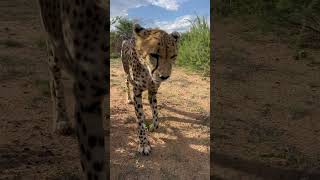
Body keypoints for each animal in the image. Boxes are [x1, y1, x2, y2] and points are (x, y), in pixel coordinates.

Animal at [120, 24, 180, 155]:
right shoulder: (137, 92)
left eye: (173, 56)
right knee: (127, 82)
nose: (164, 77)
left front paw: (153, 126)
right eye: (154, 55)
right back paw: (128, 98)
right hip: (126, 72)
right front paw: (143, 143)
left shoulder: (152, 91)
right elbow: (140, 120)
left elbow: (156, 113)